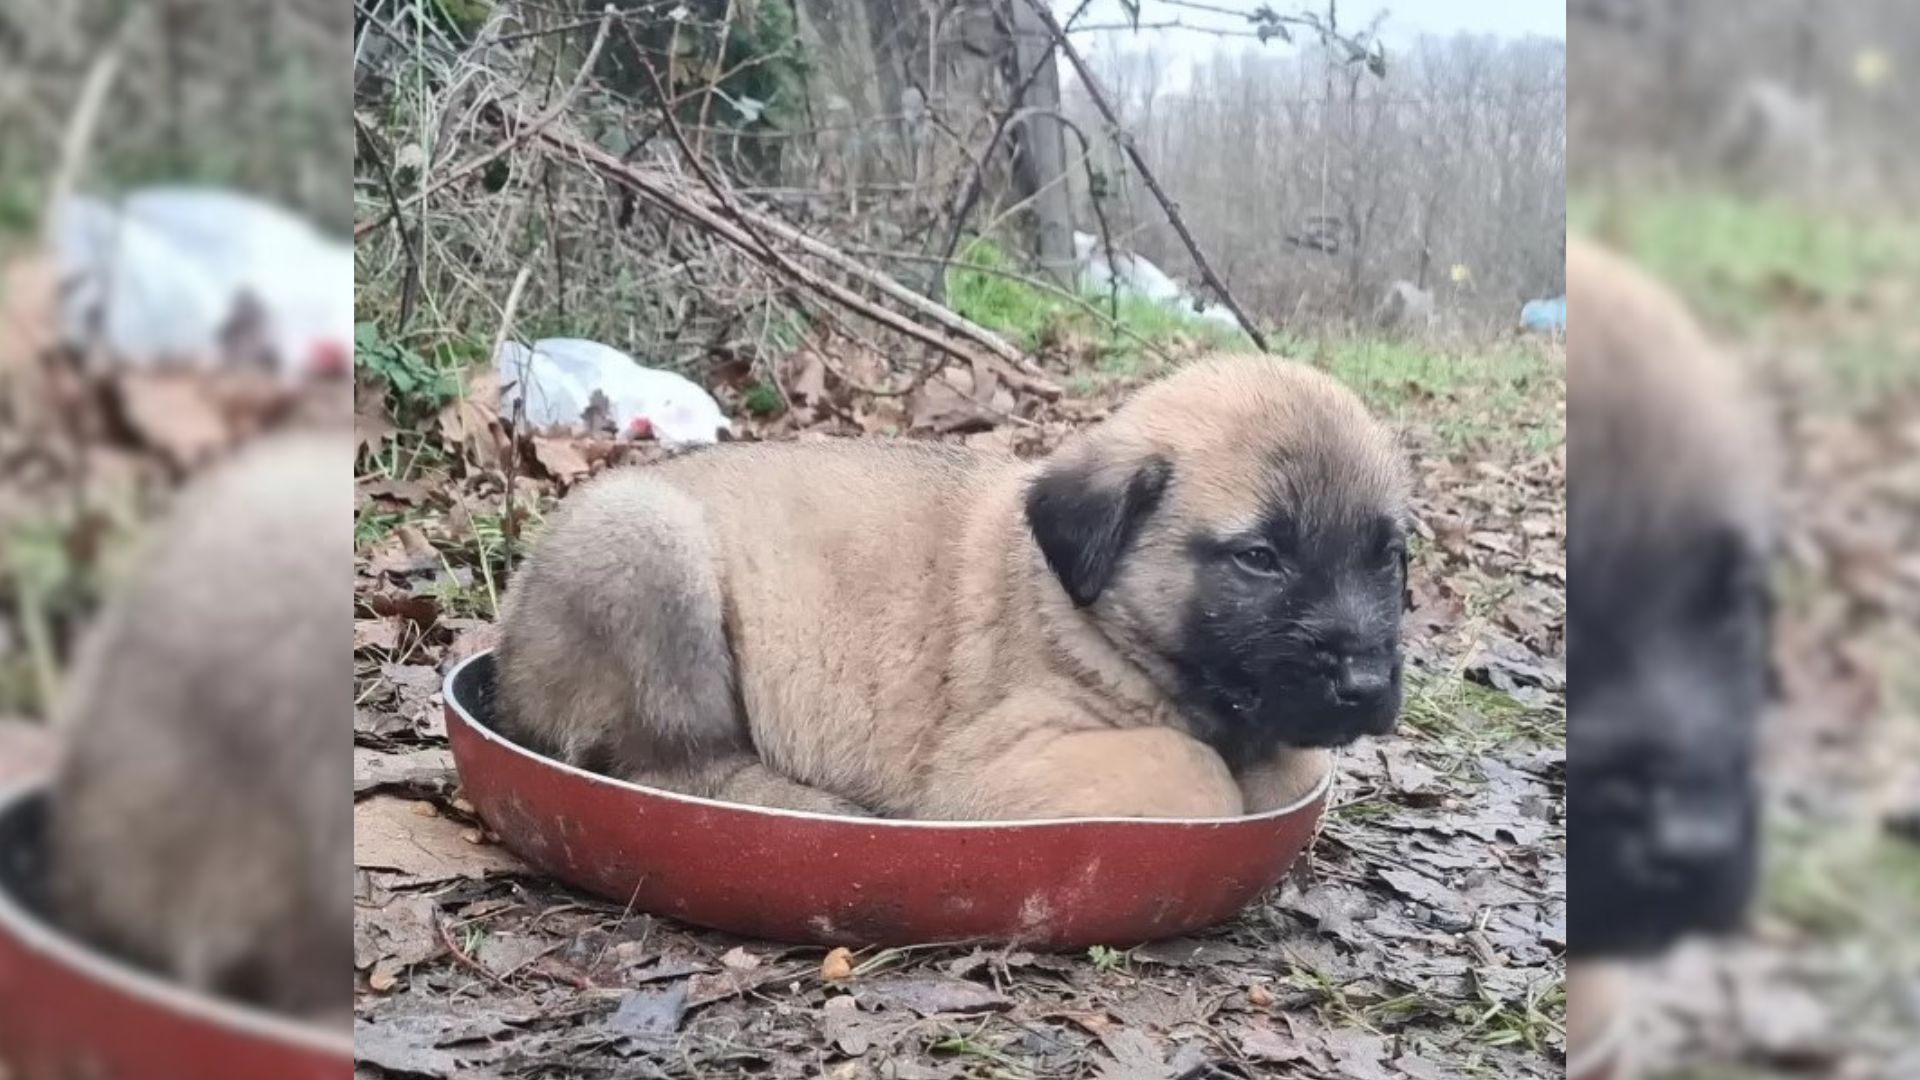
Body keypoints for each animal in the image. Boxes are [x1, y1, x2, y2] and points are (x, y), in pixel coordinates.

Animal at [503, 353, 1420, 814]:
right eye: (1260, 558)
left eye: (1390, 557)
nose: (1365, 683)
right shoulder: (998, 762)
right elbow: (1195, 773)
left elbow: (1284, 773)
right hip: (649, 545)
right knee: (670, 768)